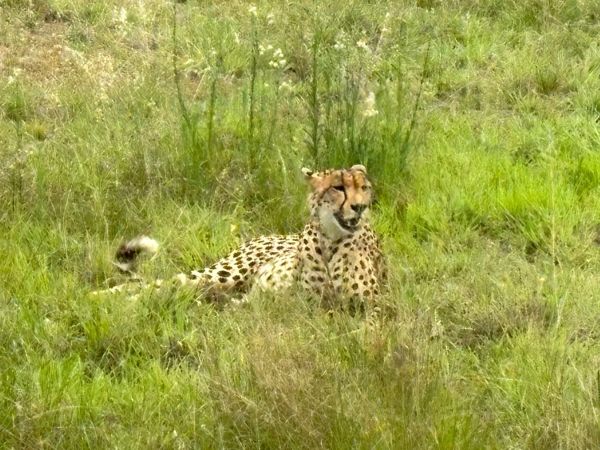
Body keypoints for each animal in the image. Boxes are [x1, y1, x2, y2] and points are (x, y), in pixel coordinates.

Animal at [94, 163, 384, 308]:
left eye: (364, 188)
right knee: (157, 284)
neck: (330, 240)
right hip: (225, 274)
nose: (360, 207)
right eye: (338, 187)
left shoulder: (371, 306)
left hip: (221, 286)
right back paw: (99, 298)